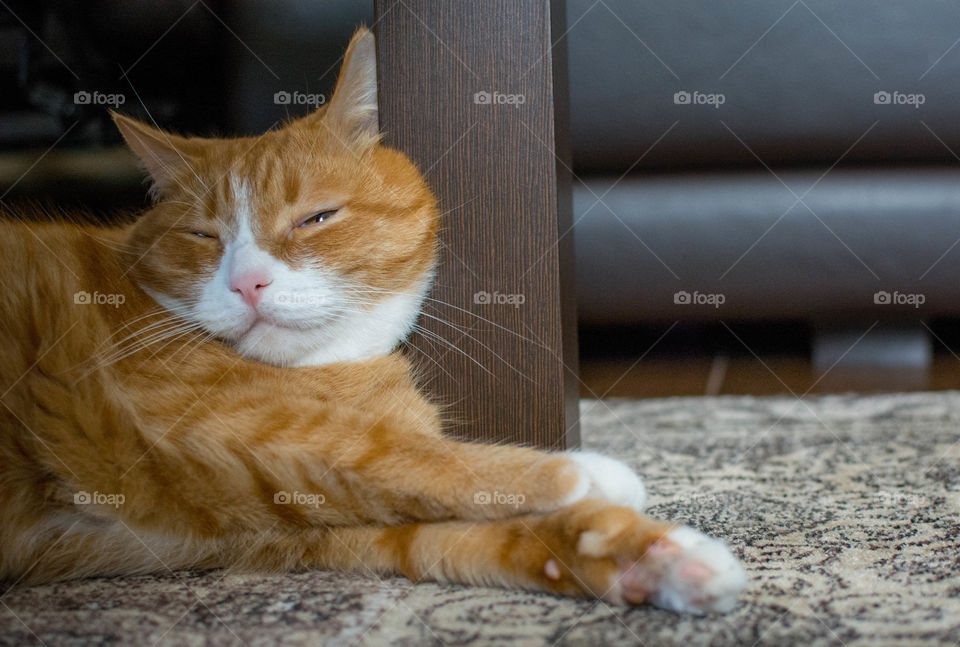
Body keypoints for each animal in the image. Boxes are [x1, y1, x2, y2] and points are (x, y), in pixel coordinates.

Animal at [0, 29, 748, 612]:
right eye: (202, 236)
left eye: (315, 219)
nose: (246, 281)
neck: (338, 367)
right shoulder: (225, 424)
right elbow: (408, 455)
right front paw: (581, 471)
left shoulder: (302, 523)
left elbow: (462, 530)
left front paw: (650, 557)